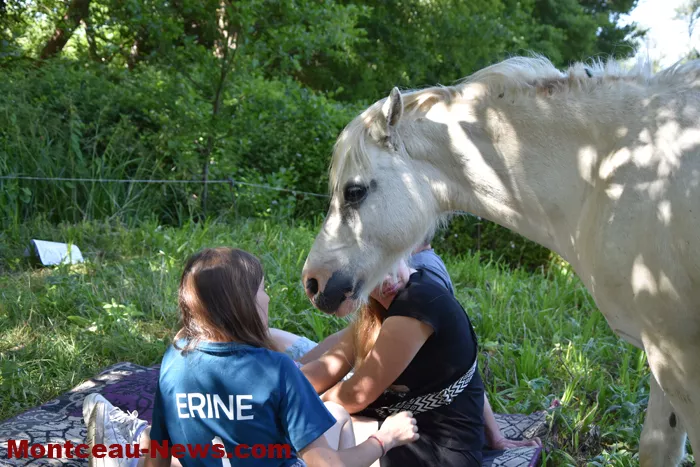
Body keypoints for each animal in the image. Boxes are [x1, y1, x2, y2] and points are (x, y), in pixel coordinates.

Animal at [301, 54, 700, 466]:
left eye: (354, 191)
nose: (312, 282)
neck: (611, 173)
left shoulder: (678, 358)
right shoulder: (661, 356)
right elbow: (657, 446)